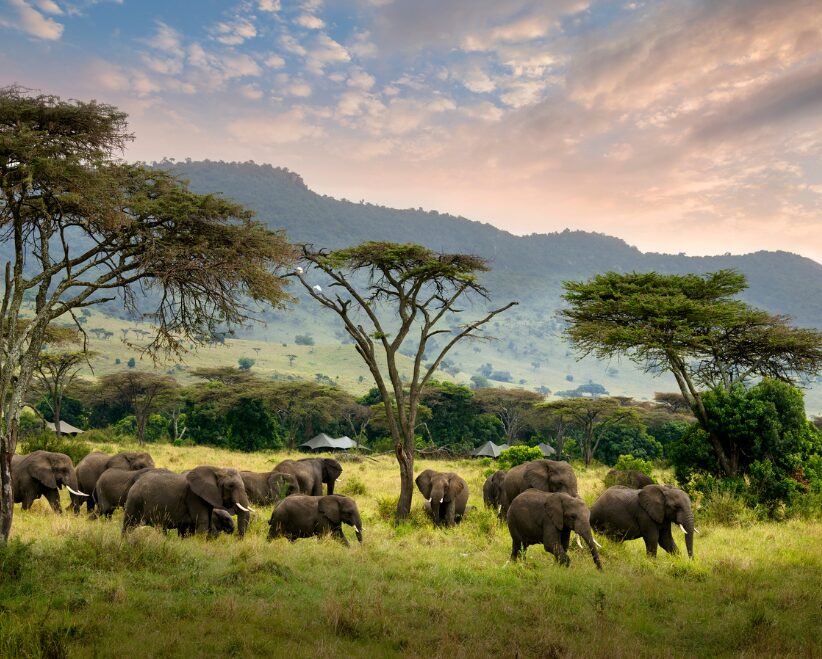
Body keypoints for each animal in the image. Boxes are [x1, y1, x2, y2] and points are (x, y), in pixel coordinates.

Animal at [123, 466, 253, 538]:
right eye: (230, 486)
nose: (236, 538)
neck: (217, 470)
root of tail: (136, 482)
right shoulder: (193, 496)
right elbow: (203, 522)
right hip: (135, 500)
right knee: (128, 524)